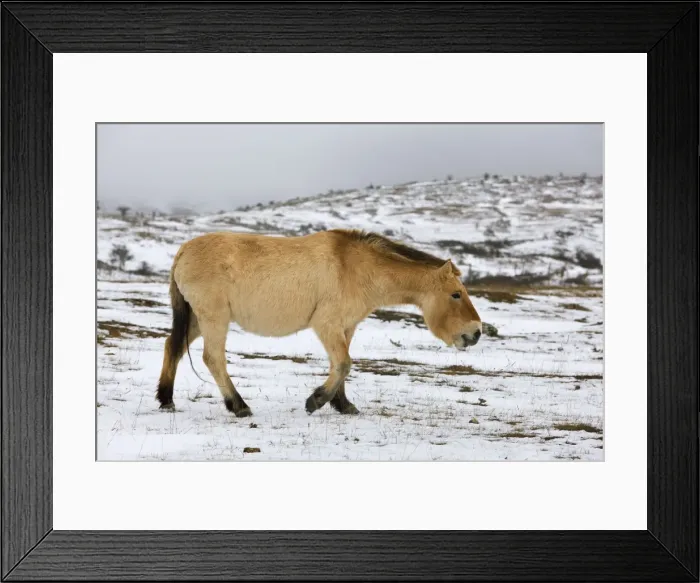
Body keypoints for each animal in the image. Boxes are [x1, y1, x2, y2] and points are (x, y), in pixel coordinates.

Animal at [156, 229, 482, 417]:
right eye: (456, 294)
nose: (476, 333)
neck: (358, 267)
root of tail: (183, 251)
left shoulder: (346, 327)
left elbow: (340, 365)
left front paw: (343, 405)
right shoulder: (327, 325)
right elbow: (344, 364)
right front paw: (316, 401)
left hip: (197, 319)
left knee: (173, 346)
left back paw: (166, 399)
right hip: (214, 318)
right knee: (213, 358)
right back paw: (239, 406)